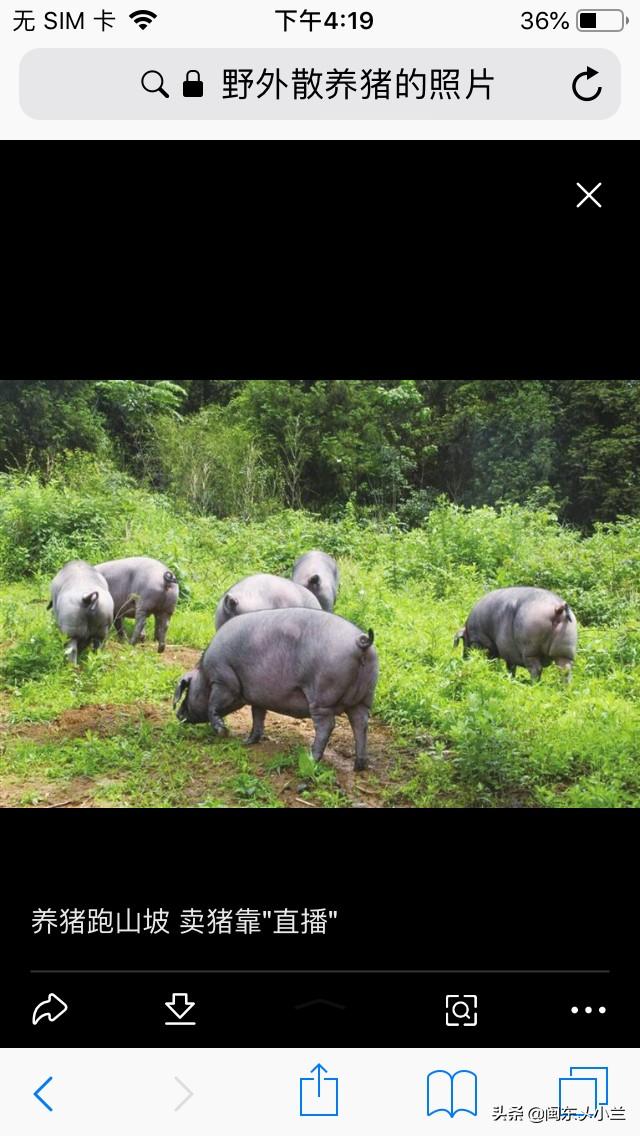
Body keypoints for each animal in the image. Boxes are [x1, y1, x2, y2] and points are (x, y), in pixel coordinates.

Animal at [172, 613, 377, 772]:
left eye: (187, 690)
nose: (178, 714)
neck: (204, 674)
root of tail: (361, 642)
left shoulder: (223, 681)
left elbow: (213, 706)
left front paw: (223, 733)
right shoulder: (257, 698)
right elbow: (258, 717)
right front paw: (247, 742)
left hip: (323, 698)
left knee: (327, 726)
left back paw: (310, 760)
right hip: (364, 699)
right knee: (360, 724)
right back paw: (359, 766)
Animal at [454, 590, 582, 677]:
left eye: (463, 640)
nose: (463, 659)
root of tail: (557, 609)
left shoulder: (481, 642)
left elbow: (495, 661)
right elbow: (510, 666)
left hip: (530, 650)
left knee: (536, 668)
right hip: (565, 651)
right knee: (565, 670)